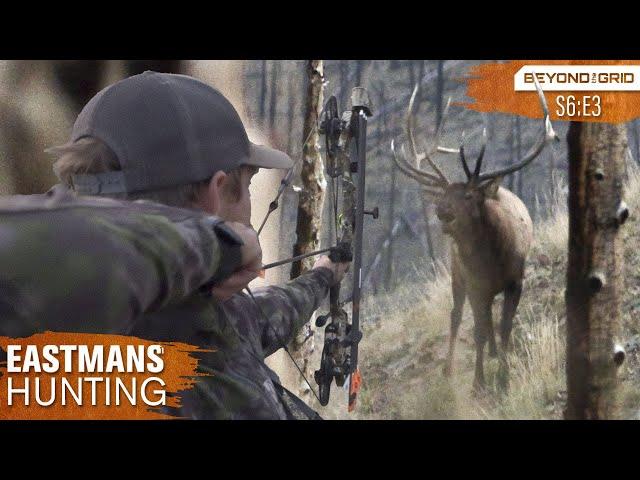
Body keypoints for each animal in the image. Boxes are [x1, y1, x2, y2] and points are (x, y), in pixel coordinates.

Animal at [390, 79, 556, 390]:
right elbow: (477, 329)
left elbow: (505, 327)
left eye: (468, 196)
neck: (492, 259)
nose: (442, 211)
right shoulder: (475, 283)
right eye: (444, 194)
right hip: (458, 275)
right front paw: (479, 382)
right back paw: (449, 367)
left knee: (489, 318)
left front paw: (503, 377)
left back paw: (492, 353)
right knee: (456, 316)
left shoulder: (516, 280)